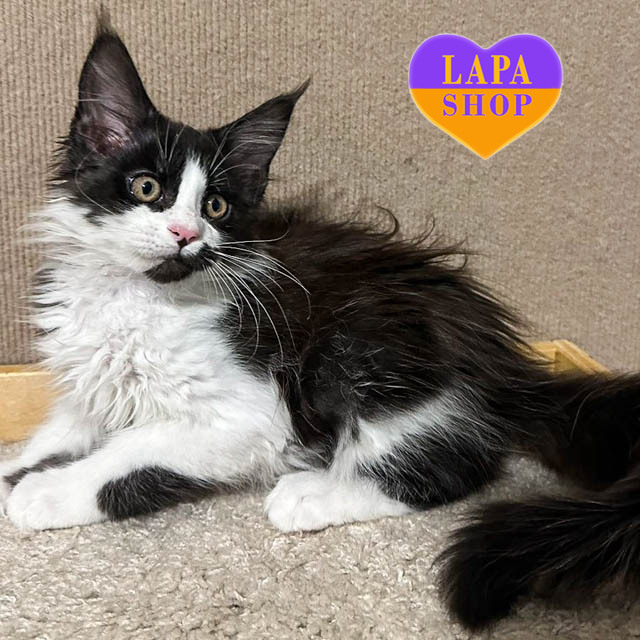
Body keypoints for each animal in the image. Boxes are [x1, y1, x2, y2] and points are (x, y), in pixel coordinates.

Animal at [2, 14, 640, 632]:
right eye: (146, 187)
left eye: (216, 207)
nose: (186, 234)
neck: (139, 296)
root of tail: (508, 364)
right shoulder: (91, 376)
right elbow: (62, 428)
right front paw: (17, 464)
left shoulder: (249, 410)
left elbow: (127, 453)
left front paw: (46, 489)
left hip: (361, 349)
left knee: (449, 467)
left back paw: (312, 494)